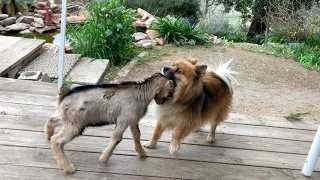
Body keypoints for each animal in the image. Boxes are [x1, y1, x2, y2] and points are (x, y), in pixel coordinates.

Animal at [43, 72, 174, 174]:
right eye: (170, 92)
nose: (162, 102)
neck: (140, 94)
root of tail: (63, 96)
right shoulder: (123, 119)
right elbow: (117, 138)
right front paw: (104, 158)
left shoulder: (133, 119)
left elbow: (137, 135)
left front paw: (142, 153)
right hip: (75, 125)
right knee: (57, 141)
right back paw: (68, 167)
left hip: (68, 119)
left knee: (52, 119)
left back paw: (48, 135)